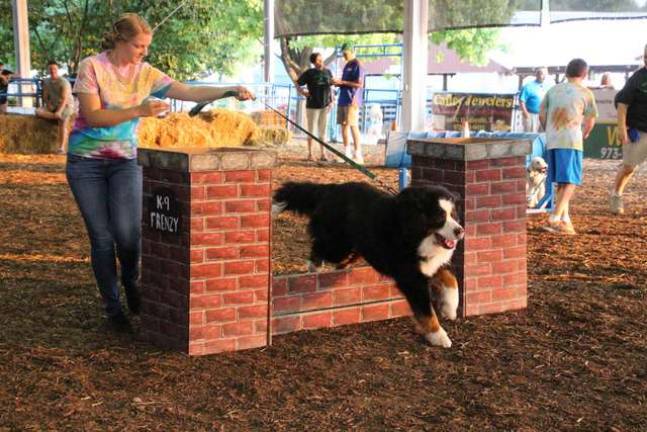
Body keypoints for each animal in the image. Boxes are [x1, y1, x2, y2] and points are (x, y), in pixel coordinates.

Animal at [274, 182, 466, 348]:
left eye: (453, 215)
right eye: (439, 216)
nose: (460, 231)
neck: (413, 232)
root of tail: (331, 188)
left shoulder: (431, 263)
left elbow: (452, 279)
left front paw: (450, 308)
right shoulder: (411, 277)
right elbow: (426, 310)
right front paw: (439, 336)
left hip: (355, 247)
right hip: (337, 245)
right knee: (318, 248)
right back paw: (314, 270)